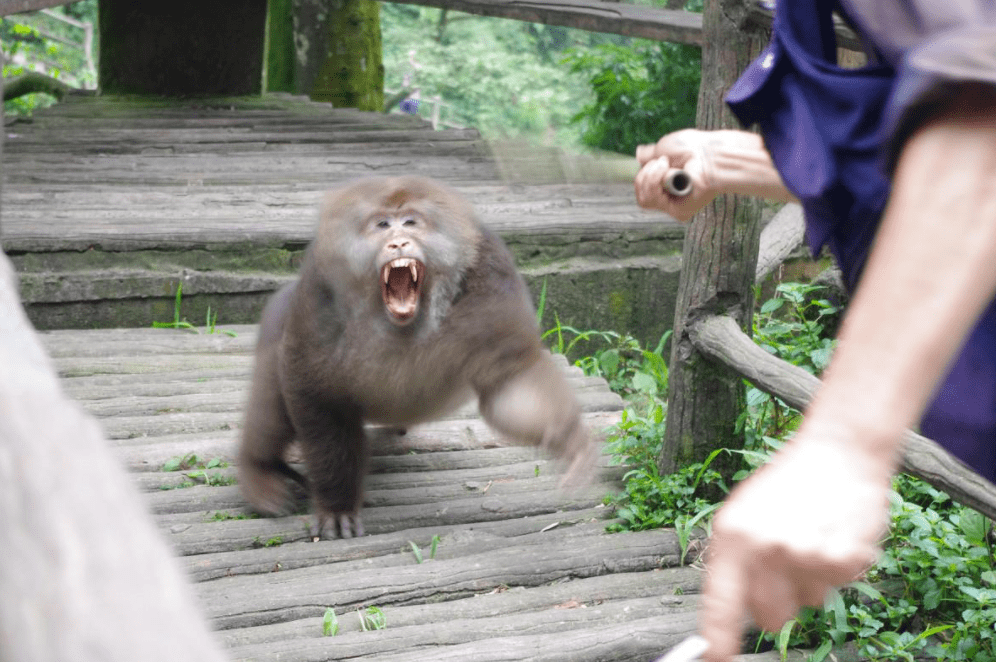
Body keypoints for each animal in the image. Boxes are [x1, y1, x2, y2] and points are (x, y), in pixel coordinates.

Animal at [239, 175, 600, 540]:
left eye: (411, 222)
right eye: (383, 224)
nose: (399, 243)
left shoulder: (491, 283)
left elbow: (509, 382)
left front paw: (568, 439)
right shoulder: (318, 298)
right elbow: (316, 395)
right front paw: (337, 504)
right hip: (278, 321)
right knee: (272, 405)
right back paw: (260, 472)